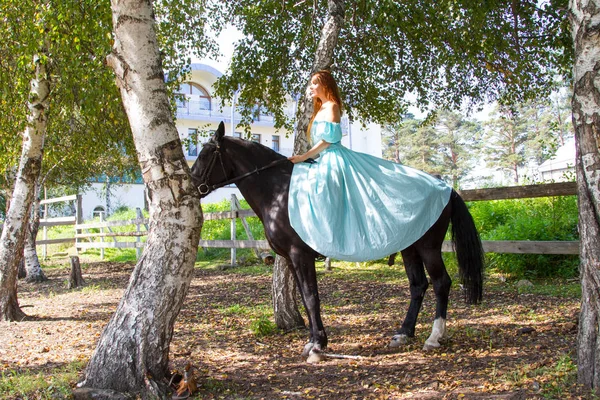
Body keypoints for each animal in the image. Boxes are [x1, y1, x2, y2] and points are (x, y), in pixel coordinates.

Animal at [190, 121, 486, 360]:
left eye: (204, 154)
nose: (191, 187)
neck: (280, 192)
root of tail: (445, 187)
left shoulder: (300, 255)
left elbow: (311, 297)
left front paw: (318, 346)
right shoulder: (292, 258)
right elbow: (305, 297)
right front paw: (312, 341)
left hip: (428, 247)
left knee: (441, 283)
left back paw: (434, 337)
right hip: (409, 247)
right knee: (418, 286)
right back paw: (403, 333)